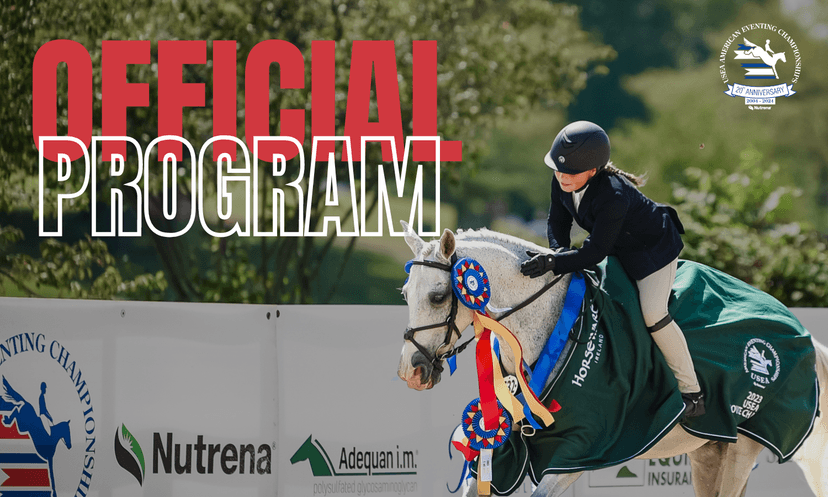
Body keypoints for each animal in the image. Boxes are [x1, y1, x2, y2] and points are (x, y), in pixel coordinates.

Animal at [396, 222, 828, 497]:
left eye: (438, 296)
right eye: (404, 293)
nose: (411, 372)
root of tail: (803, 334)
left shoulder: (576, 453)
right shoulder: (508, 446)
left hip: (743, 448)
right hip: (710, 451)